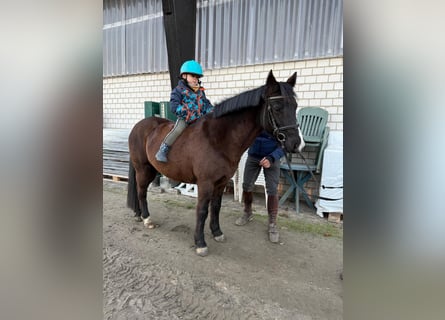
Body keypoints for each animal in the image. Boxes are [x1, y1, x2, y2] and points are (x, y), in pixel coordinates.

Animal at [126, 71, 304, 256]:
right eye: (276, 107)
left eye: (295, 105)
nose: (297, 144)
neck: (217, 139)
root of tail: (138, 126)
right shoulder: (205, 183)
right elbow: (203, 210)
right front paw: (200, 243)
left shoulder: (221, 182)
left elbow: (216, 207)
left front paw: (217, 232)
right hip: (143, 169)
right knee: (141, 191)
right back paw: (147, 219)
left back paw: (139, 215)